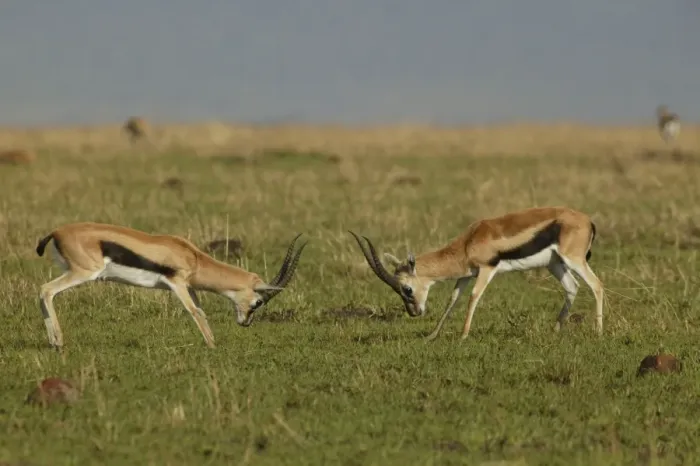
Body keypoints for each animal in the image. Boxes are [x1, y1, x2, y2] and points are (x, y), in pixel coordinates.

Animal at [35, 223, 308, 349]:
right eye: (258, 301)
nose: (245, 323)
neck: (193, 258)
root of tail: (56, 232)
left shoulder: (189, 286)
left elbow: (202, 311)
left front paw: (212, 342)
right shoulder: (176, 283)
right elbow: (194, 311)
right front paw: (212, 346)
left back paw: (53, 343)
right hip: (82, 273)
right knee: (45, 290)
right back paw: (58, 342)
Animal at [349, 206, 604, 341]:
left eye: (407, 288)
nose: (414, 312)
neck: (468, 242)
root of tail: (588, 220)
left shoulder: (486, 269)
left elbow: (474, 297)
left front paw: (463, 335)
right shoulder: (466, 274)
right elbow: (453, 299)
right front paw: (432, 335)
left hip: (574, 259)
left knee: (597, 285)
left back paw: (597, 332)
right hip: (555, 264)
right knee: (572, 287)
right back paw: (555, 330)